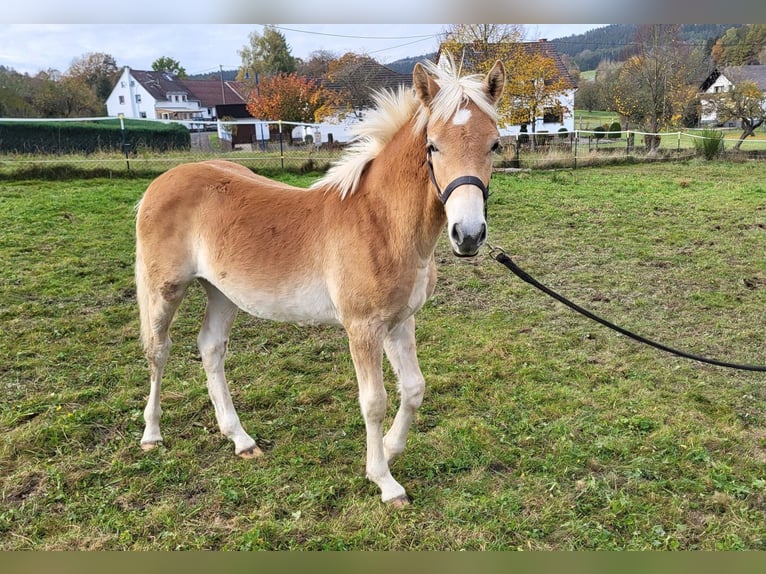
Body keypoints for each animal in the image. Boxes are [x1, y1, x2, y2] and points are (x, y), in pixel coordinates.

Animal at [135, 59, 508, 508]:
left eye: (495, 145)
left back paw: (241, 439)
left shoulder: (400, 322)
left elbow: (414, 388)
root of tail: (162, 181)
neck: (382, 222)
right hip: (164, 289)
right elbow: (374, 401)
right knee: (158, 352)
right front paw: (385, 481)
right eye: (432, 145)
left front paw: (390, 448)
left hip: (222, 293)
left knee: (210, 348)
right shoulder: (363, 327)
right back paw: (152, 434)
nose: (468, 235)